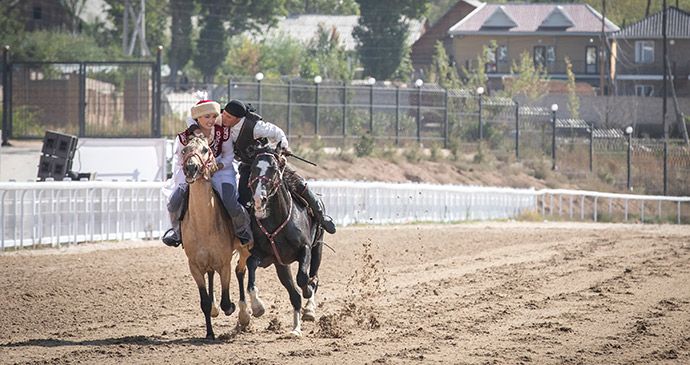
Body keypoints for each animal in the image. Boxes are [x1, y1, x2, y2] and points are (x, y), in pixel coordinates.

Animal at [179, 136, 251, 338]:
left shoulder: (224, 263)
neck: (204, 225)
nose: (191, 168)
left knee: (241, 270)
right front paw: (210, 331)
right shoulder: (194, 265)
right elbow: (204, 301)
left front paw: (231, 307)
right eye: (184, 150)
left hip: (244, 248)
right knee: (212, 275)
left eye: (205, 149)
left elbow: (227, 301)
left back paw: (247, 313)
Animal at [246, 142, 324, 336]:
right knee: (294, 295)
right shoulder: (266, 256)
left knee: (314, 277)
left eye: (274, 169)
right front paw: (257, 306)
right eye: (253, 168)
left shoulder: (305, 249)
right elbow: (251, 265)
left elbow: (304, 278)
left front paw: (308, 297)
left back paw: (309, 309)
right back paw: (295, 329)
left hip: (318, 247)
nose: (259, 199)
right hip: (282, 266)